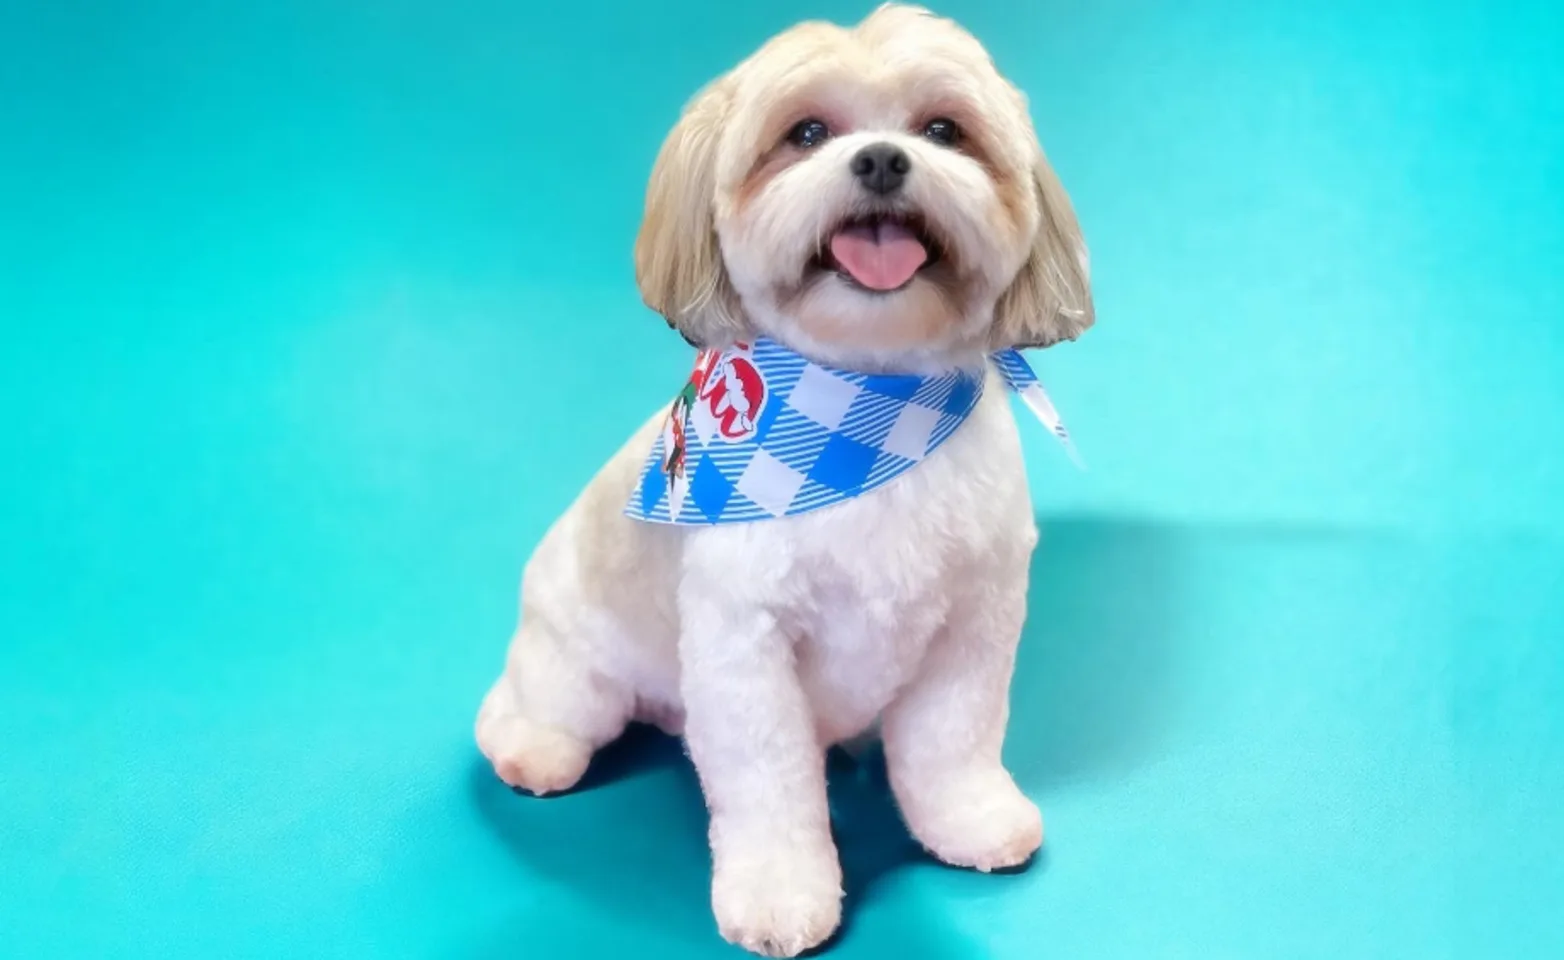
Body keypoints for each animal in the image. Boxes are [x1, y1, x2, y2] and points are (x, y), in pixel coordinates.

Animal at [469, 5, 1094, 956]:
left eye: (943, 131)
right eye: (806, 134)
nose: (882, 159)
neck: (866, 416)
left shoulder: (975, 622)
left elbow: (951, 742)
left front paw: (968, 820)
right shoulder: (746, 647)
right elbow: (768, 782)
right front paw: (780, 894)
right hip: (574, 668)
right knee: (533, 708)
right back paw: (528, 748)